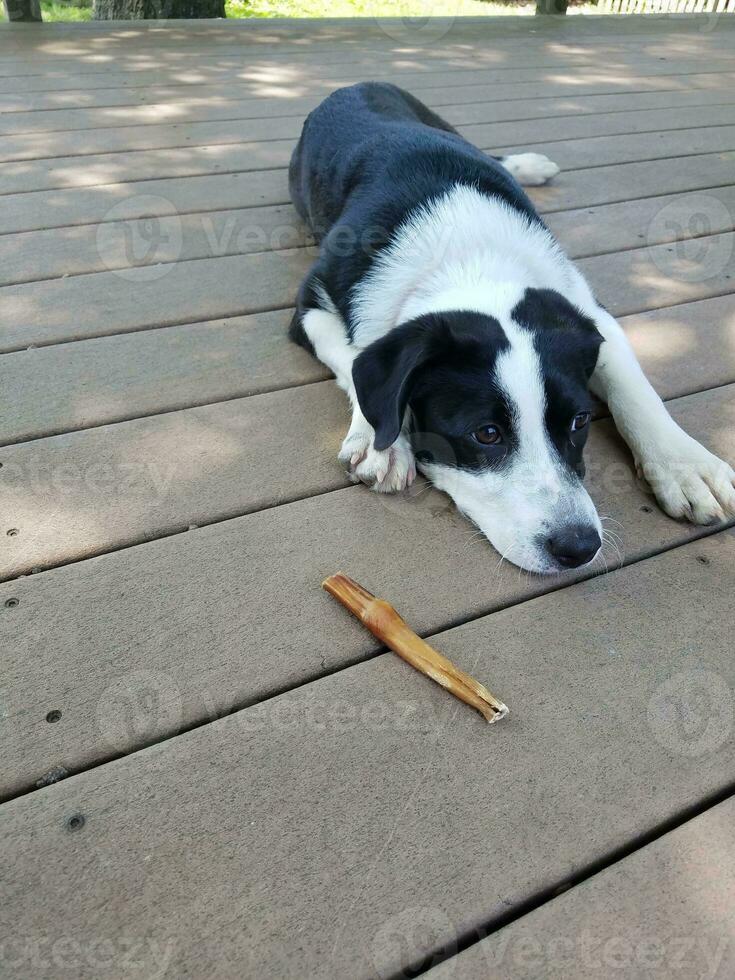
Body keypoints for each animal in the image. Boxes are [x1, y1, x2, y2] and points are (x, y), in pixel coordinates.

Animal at [288, 82, 735, 576]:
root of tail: (359, 84)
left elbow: (634, 389)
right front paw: (379, 440)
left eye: (580, 421)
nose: (579, 547)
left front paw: (685, 466)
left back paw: (527, 165)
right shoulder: (310, 306)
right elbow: (354, 358)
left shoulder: (586, 309)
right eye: (486, 434)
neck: (469, 260)